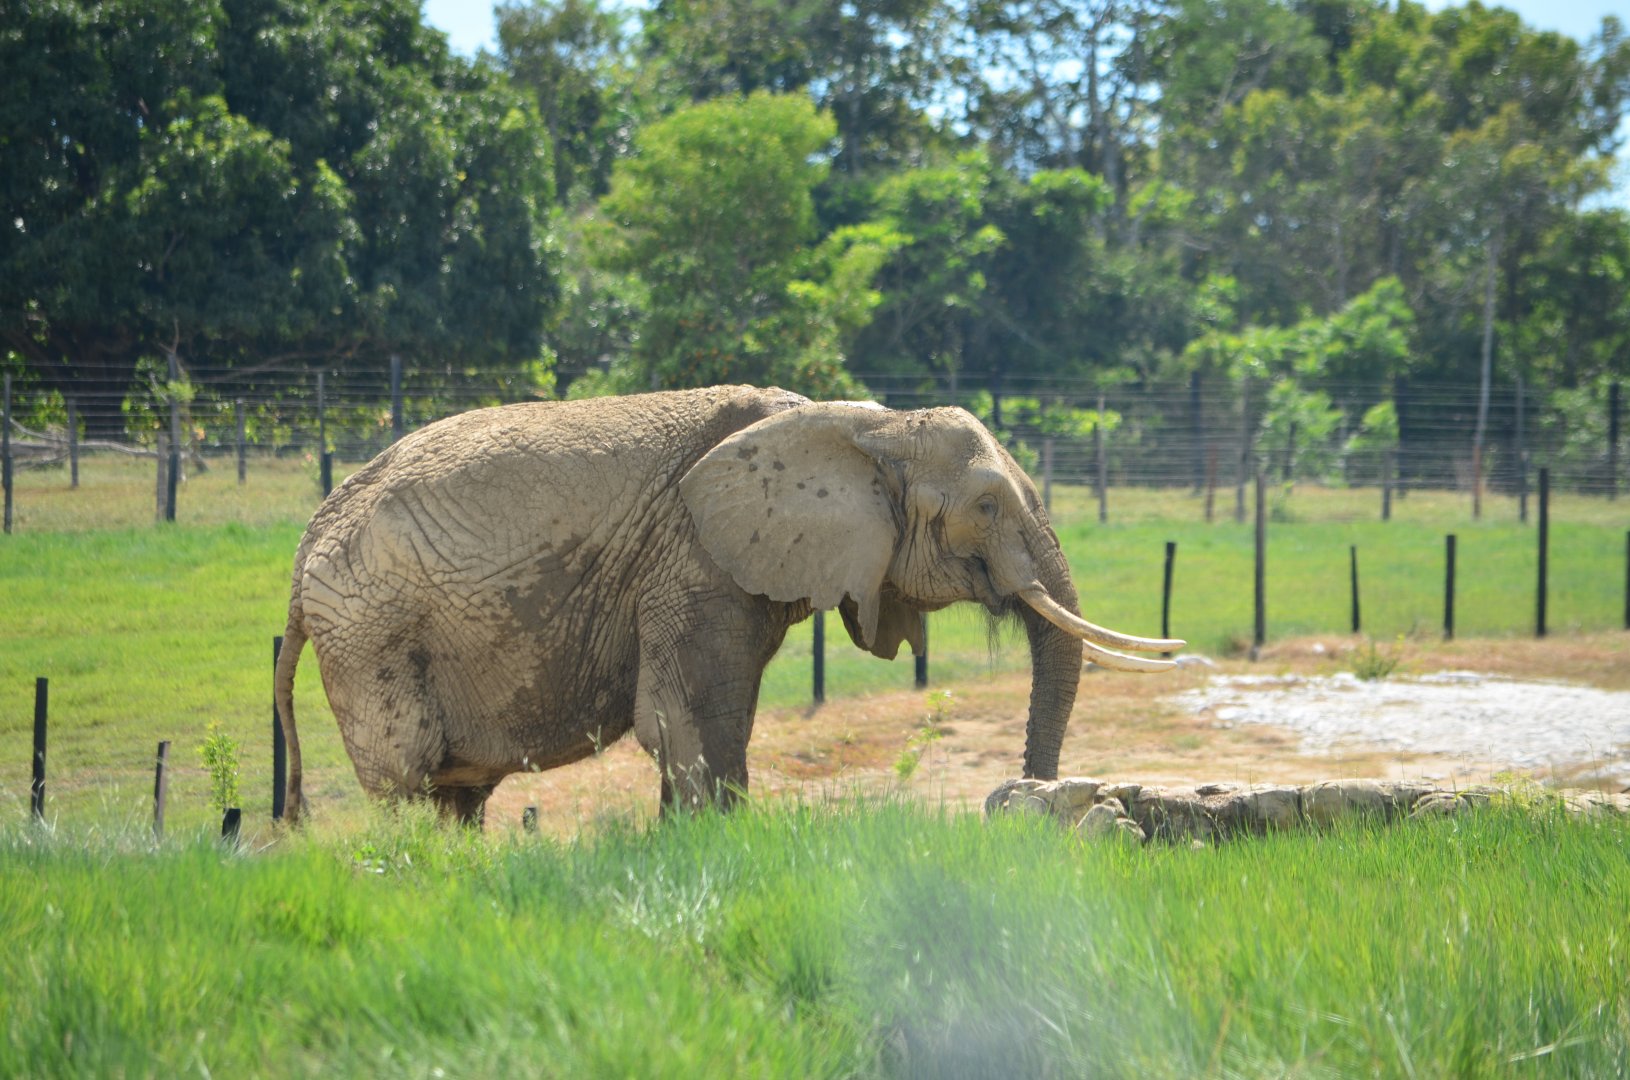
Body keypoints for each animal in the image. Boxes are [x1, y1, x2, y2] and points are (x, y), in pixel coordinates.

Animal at [273, 385, 1182, 824]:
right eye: (988, 506)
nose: (1022, 801)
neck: (865, 424)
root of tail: (303, 547)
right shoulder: (693, 559)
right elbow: (687, 718)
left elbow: (717, 720)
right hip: (372, 635)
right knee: (407, 779)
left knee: (456, 797)